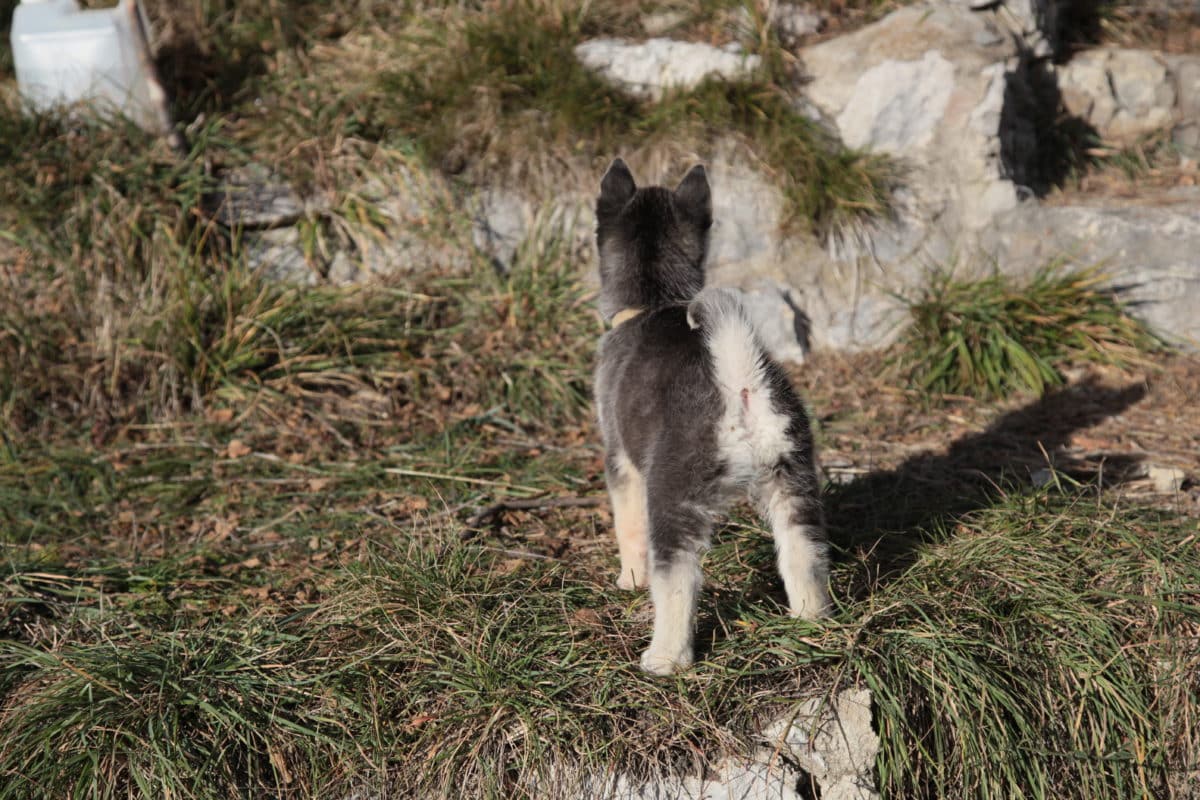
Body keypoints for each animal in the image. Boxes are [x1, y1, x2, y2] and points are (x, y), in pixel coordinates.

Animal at [592, 158, 835, 676]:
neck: (653, 301)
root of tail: (737, 381)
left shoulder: (621, 463)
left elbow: (628, 528)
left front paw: (629, 578)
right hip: (794, 482)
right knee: (803, 555)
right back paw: (812, 623)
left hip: (672, 495)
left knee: (676, 581)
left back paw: (665, 658)